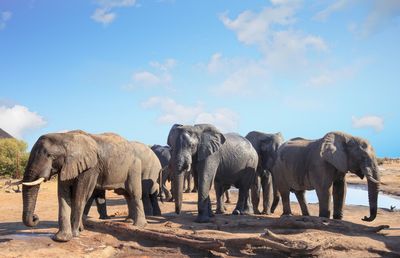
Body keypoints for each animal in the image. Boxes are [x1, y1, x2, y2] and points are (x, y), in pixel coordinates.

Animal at [21, 131, 161, 242]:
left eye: (51, 156)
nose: (35, 218)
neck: (65, 136)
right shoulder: (67, 166)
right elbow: (63, 196)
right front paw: (61, 238)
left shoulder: (90, 167)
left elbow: (80, 196)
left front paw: (75, 234)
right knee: (126, 195)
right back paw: (128, 221)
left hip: (134, 167)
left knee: (134, 193)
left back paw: (139, 226)